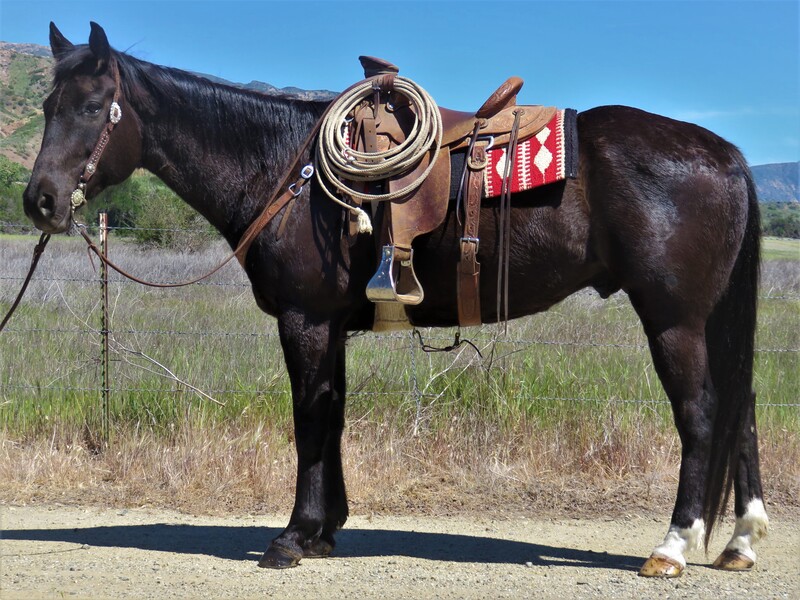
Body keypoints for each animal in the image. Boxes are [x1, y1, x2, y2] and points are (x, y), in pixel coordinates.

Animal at [23, 24, 768, 576]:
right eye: (47, 107)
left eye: (91, 107)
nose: (41, 201)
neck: (285, 170)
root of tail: (727, 152)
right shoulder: (331, 327)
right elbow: (332, 418)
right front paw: (325, 531)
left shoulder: (305, 321)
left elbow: (309, 421)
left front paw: (292, 537)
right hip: (712, 321)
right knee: (742, 409)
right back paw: (740, 541)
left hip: (675, 320)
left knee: (702, 413)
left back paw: (672, 547)